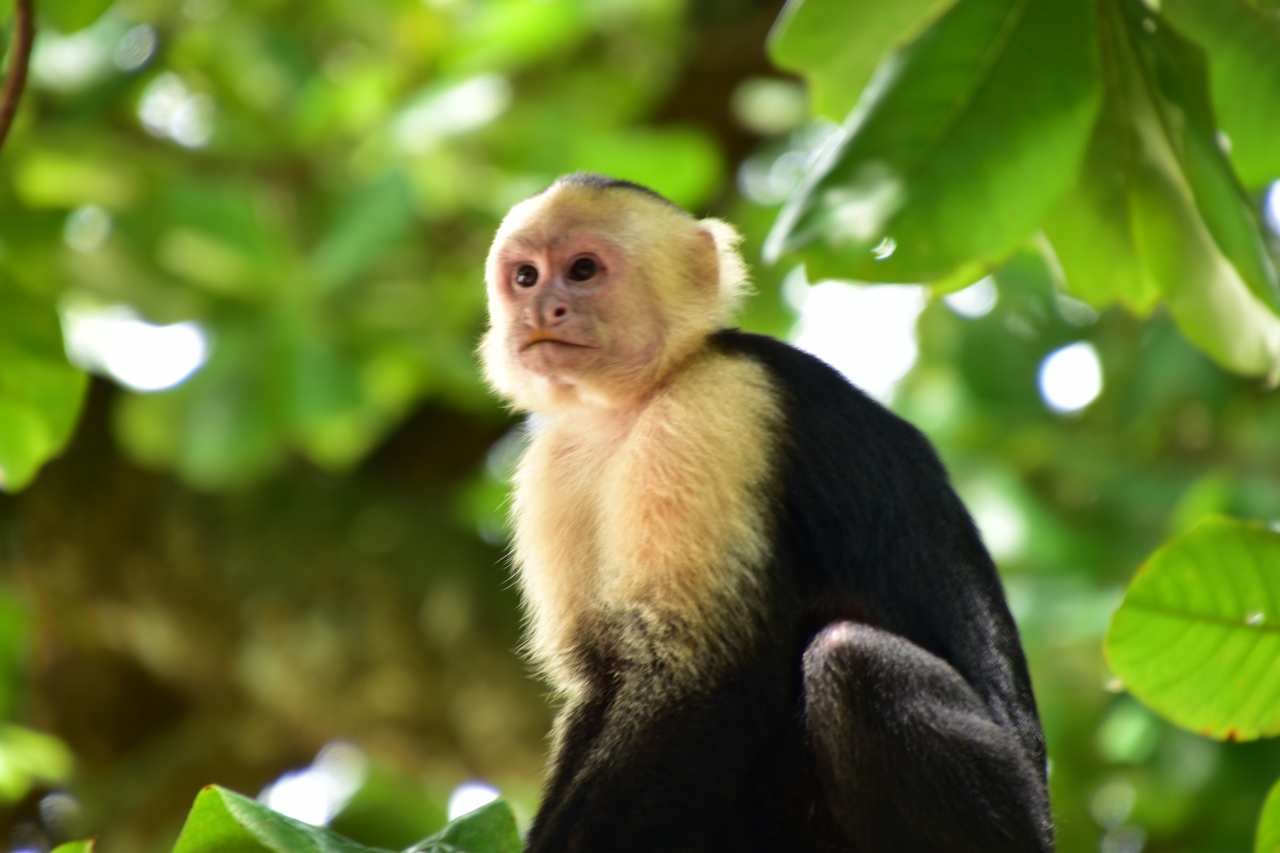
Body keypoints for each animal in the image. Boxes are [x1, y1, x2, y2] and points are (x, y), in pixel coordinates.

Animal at [478, 174, 1049, 850]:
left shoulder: (716, 407)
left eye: (583, 270)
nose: (541, 310)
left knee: (854, 661)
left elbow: (703, 680)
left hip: (1009, 817)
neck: (633, 401)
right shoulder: (553, 465)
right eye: (525, 277)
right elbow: (603, 678)